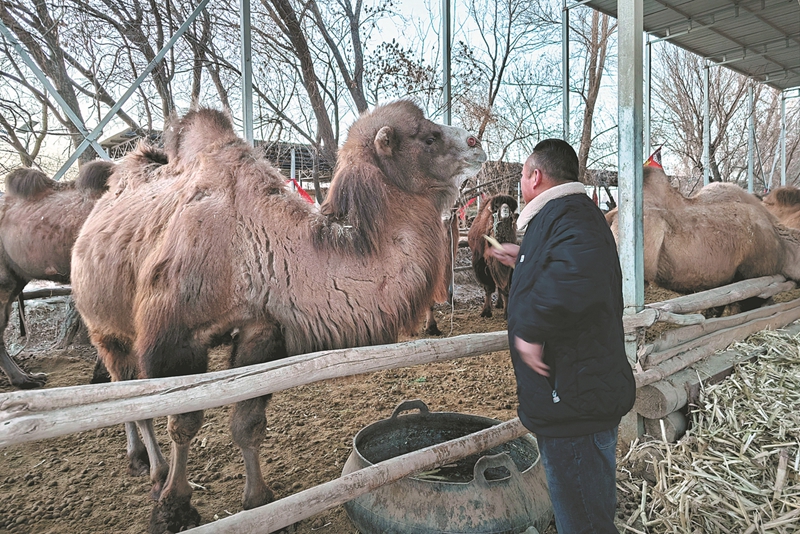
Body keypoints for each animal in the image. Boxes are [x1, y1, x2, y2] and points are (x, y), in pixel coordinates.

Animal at [72, 101, 488, 534]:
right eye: (429, 137)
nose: (477, 143)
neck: (252, 243)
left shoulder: (262, 330)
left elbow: (248, 424)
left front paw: (259, 503)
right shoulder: (174, 339)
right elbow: (182, 423)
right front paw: (174, 507)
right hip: (104, 325)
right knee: (127, 388)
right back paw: (149, 469)